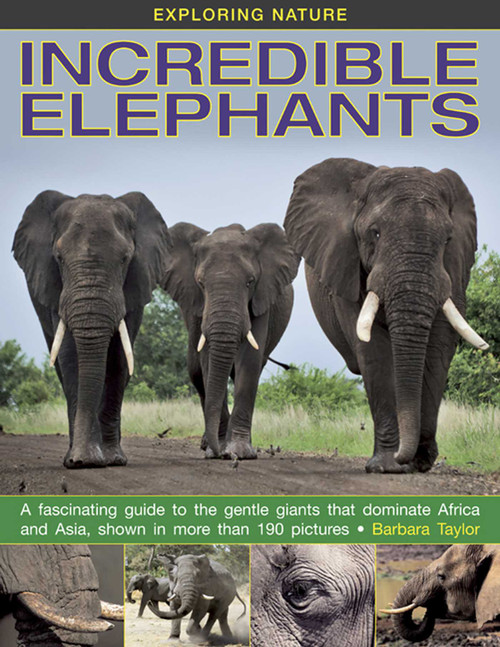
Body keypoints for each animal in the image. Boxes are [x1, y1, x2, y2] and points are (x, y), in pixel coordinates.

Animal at [13, 190, 170, 468]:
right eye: (59, 258)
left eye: (125, 259)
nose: (81, 460)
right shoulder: (56, 287)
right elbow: (70, 356)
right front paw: (81, 460)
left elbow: (118, 358)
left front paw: (112, 460)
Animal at [162, 222, 300, 460]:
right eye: (201, 283)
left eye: (250, 282)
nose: (221, 454)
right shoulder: (197, 305)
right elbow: (207, 361)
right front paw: (216, 449)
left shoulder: (262, 298)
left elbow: (250, 362)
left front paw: (239, 452)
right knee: (196, 372)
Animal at [284, 157, 489, 474]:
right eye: (375, 233)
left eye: (447, 240)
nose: (407, 457)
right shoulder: (347, 266)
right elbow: (374, 351)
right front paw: (387, 466)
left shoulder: (455, 272)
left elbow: (439, 345)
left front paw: (419, 462)